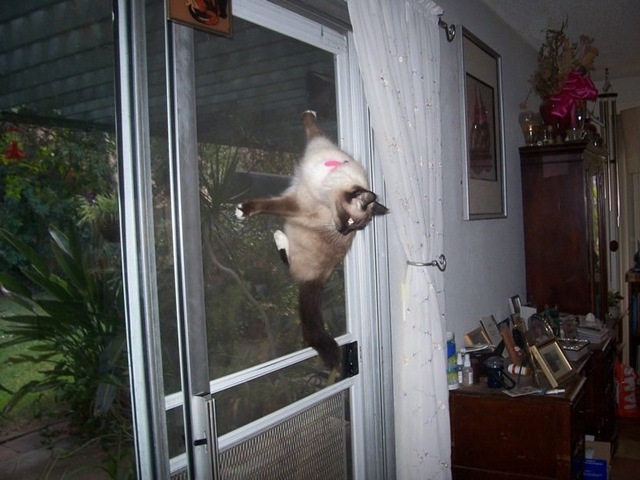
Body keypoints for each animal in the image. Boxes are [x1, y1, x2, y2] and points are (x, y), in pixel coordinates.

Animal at [235, 111, 388, 371]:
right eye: (351, 223)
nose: (343, 232)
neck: (328, 175)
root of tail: (318, 280)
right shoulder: (316, 143)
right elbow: (311, 125)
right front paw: (309, 113)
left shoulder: (297, 205)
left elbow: (269, 205)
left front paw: (243, 210)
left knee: (289, 265)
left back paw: (278, 236)